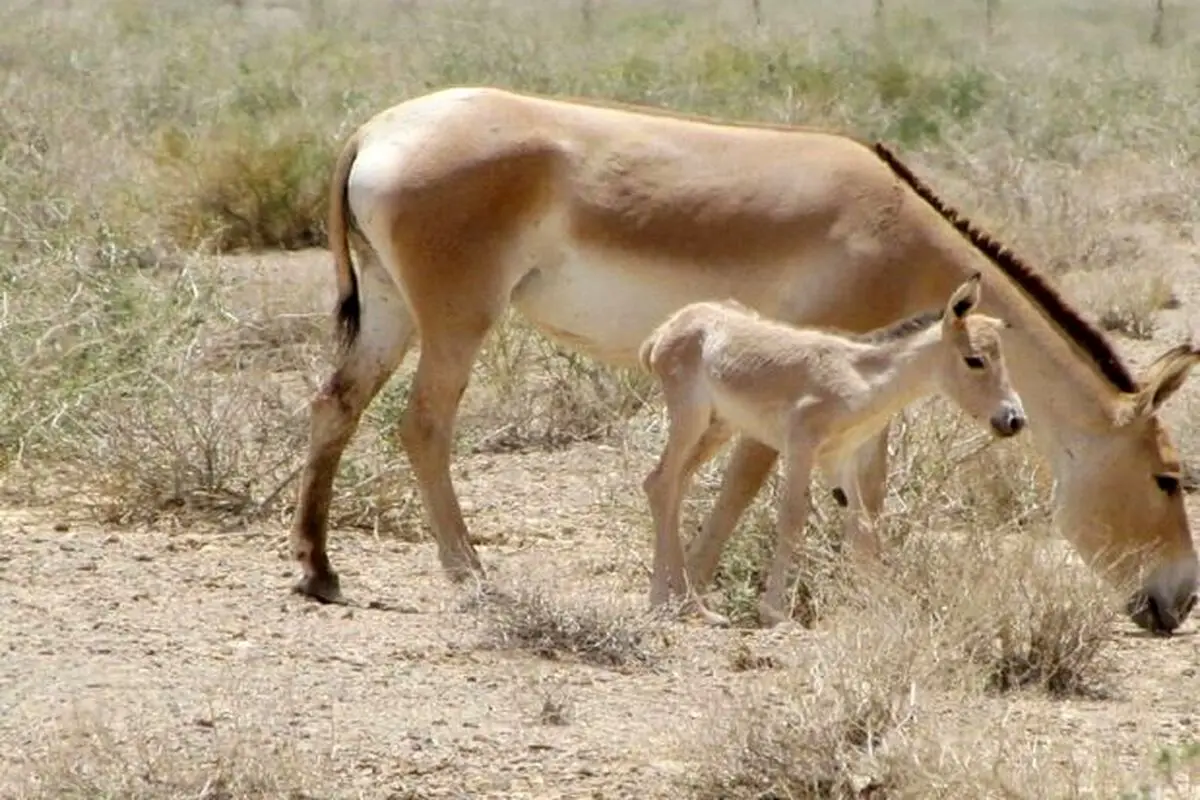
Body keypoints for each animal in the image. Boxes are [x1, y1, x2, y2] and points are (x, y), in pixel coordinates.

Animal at [643, 273, 1027, 623]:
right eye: (975, 359)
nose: (1014, 420)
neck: (862, 379)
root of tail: (666, 329)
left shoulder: (838, 459)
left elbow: (862, 533)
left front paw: (879, 605)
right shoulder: (801, 446)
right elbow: (792, 520)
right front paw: (775, 613)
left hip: (718, 427)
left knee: (672, 486)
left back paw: (690, 605)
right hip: (690, 417)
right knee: (662, 483)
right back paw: (663, 600)